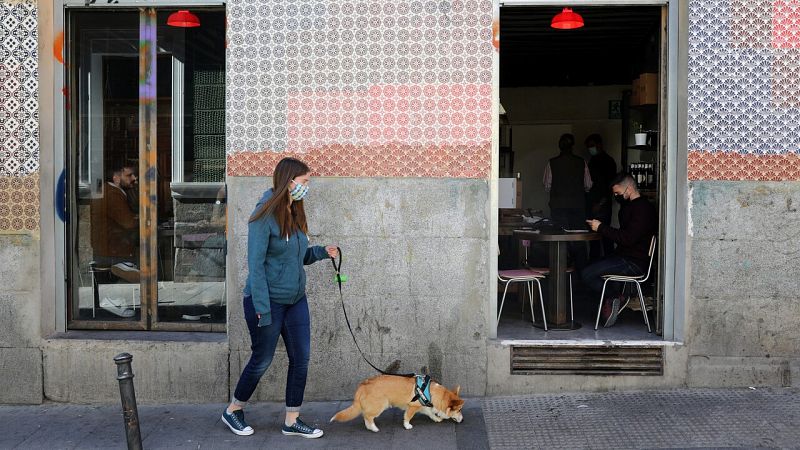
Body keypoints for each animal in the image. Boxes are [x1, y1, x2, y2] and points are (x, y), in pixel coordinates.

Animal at [328, 372, 462, 432]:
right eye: (459, 410)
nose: (462, 419)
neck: (431, 391)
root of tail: (362, 386)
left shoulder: (423, 406)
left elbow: (430, 413)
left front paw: (436, 418)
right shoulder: (412, 406)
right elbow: (407, 417)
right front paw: (407, 426)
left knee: (365, 416)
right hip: (380, 405)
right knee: (368, 416)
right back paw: (373, 428)